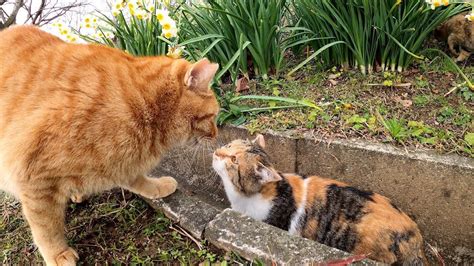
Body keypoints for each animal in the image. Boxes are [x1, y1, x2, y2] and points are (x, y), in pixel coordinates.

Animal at [0, 25, 218, 266]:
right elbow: (45, 227)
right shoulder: (33, 178)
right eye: (213, 116)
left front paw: (157, 187)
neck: (143, 106)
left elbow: (138, 180)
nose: (217, 135)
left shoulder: (120, 160)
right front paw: (57, 254)